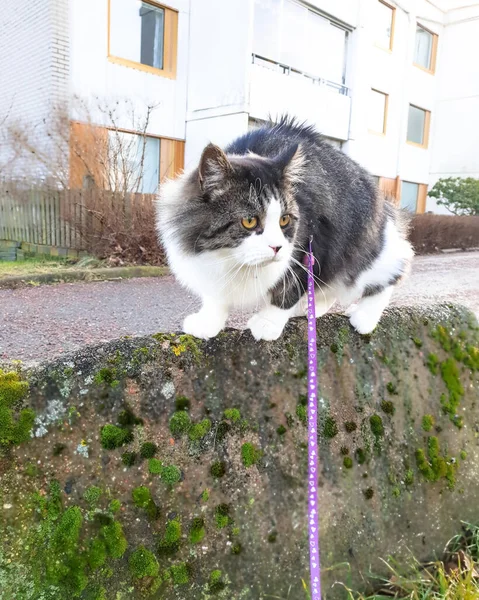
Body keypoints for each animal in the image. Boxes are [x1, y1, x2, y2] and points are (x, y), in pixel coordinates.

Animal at [157, 118, 412, 342]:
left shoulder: (311, 248)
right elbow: (215, 297)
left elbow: (286, 293)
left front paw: (268, 323)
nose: (277, 247)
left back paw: (363, 317)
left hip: (363, 252)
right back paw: (310, 308)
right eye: (249, 221)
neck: (229, 260)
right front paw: (208, 322)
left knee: (393, 270)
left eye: (284, 220)